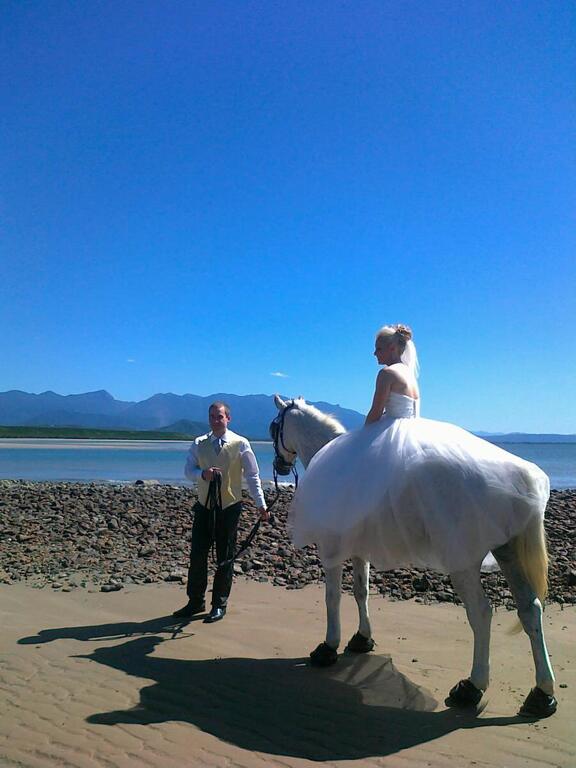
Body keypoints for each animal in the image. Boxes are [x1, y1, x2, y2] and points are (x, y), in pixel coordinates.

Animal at [270, 395, 557, 718]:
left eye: (273, 428)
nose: (279, 465)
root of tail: (524, 478)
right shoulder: (359, 549)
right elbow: (360, 591)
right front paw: (362, 639)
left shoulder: (332, 547)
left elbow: (333, 597)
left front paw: (328, 647)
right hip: (506, 550)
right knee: (530, 609)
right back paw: (542, 694)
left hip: (463, 560)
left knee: (481, 614)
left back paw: (472, 688)